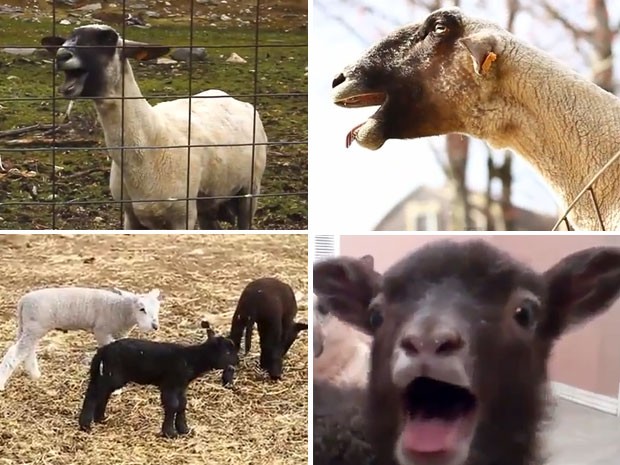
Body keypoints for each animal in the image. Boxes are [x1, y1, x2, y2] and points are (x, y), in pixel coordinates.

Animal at [0, 286, 162, 392]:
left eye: (157, 309)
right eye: (142, 309)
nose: (155, 326)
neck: (121, 310)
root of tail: (23, 301)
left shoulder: (119, 335)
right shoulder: (102, 331)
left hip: (30, 328)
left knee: (27, 351)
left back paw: (35, 375)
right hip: (35, 327)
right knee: (15, 353)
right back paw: (2, 383)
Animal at [40, 24, 268, 229]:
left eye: (108, 39)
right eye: (68, 38)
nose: (61, 55)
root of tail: (230, 97)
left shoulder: (183, 216)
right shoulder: (130, 215)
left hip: (250, 189)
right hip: (208, 200)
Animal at [78, 320, 239, 436]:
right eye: (227, 352)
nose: (237, 361)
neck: (191, 359)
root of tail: (102, 351)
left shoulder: (181, 386)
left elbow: (182, 404)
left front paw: (184, 429)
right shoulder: (170, 384)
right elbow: (173, 405)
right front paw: (170, 433)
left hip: (105, 374)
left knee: (101, 393)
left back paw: (100, 419)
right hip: (111, 375)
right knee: (94, 394)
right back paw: (85, 425)